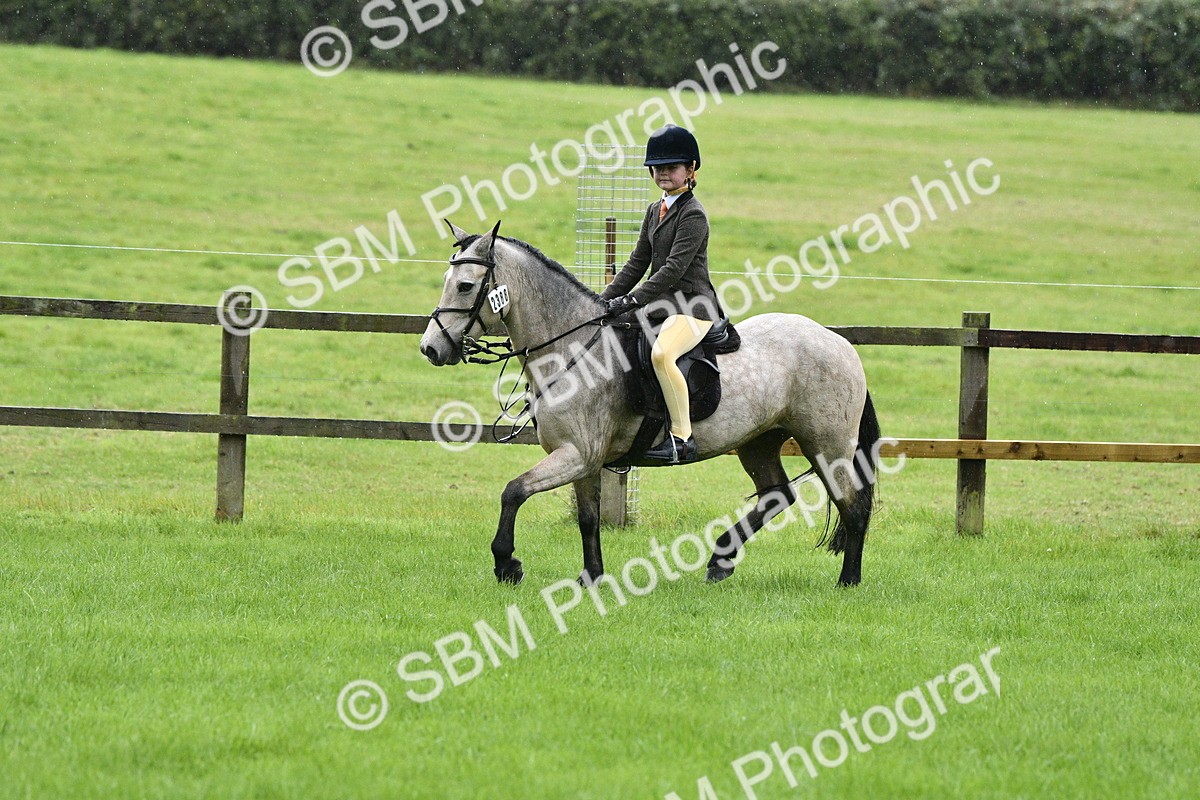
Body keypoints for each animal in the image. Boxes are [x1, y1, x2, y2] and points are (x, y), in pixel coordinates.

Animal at [419, 222, 881, 588]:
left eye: (465, 286)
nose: (430, 348)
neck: (573, 346)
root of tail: (838, 341)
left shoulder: (576, 454)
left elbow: (513, 492)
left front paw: (507, 564)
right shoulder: (584, 460)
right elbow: (587, 518)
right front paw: (591, 577)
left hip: (827, 444)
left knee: (852, 507)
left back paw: (848, 581)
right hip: (759, 440)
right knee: (776, 496)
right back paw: (720, 561)